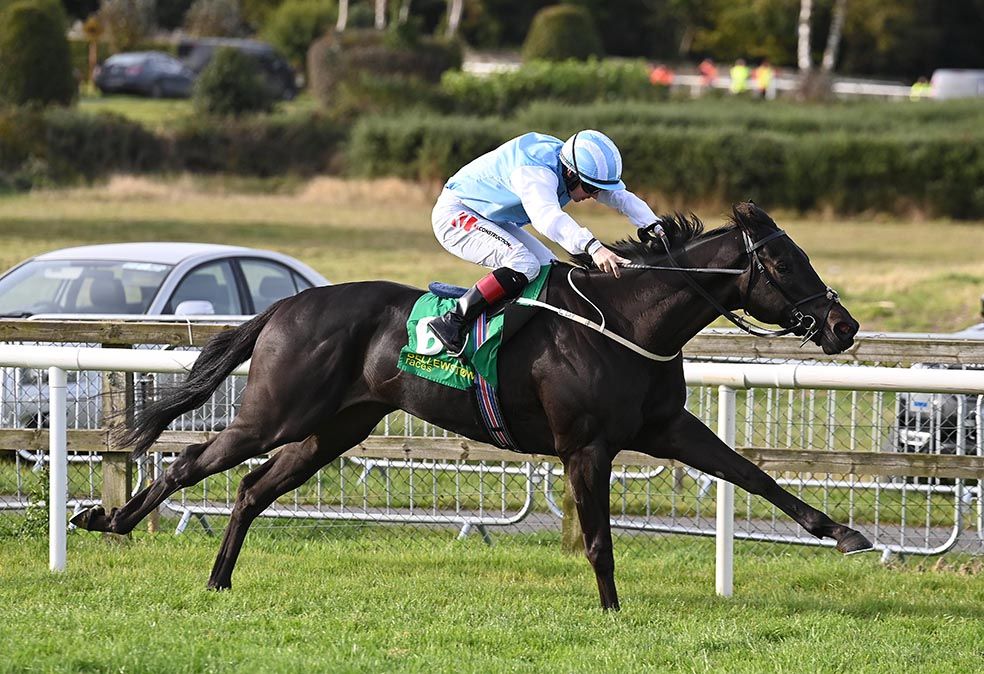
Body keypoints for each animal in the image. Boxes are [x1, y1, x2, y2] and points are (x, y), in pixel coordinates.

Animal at [71, 202, 868, 608]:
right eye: (786, 262)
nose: (844, 326)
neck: (626, 319)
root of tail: (285, 306)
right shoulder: (586, 447)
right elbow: (600, 538)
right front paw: (611, 612)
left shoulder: (665, 426)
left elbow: (752, 474)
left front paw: (842, 533)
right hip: (277, 412)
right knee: (191, 461)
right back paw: (111, 520)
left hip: (333, 429)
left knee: (250, 488)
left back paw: (218, 577)